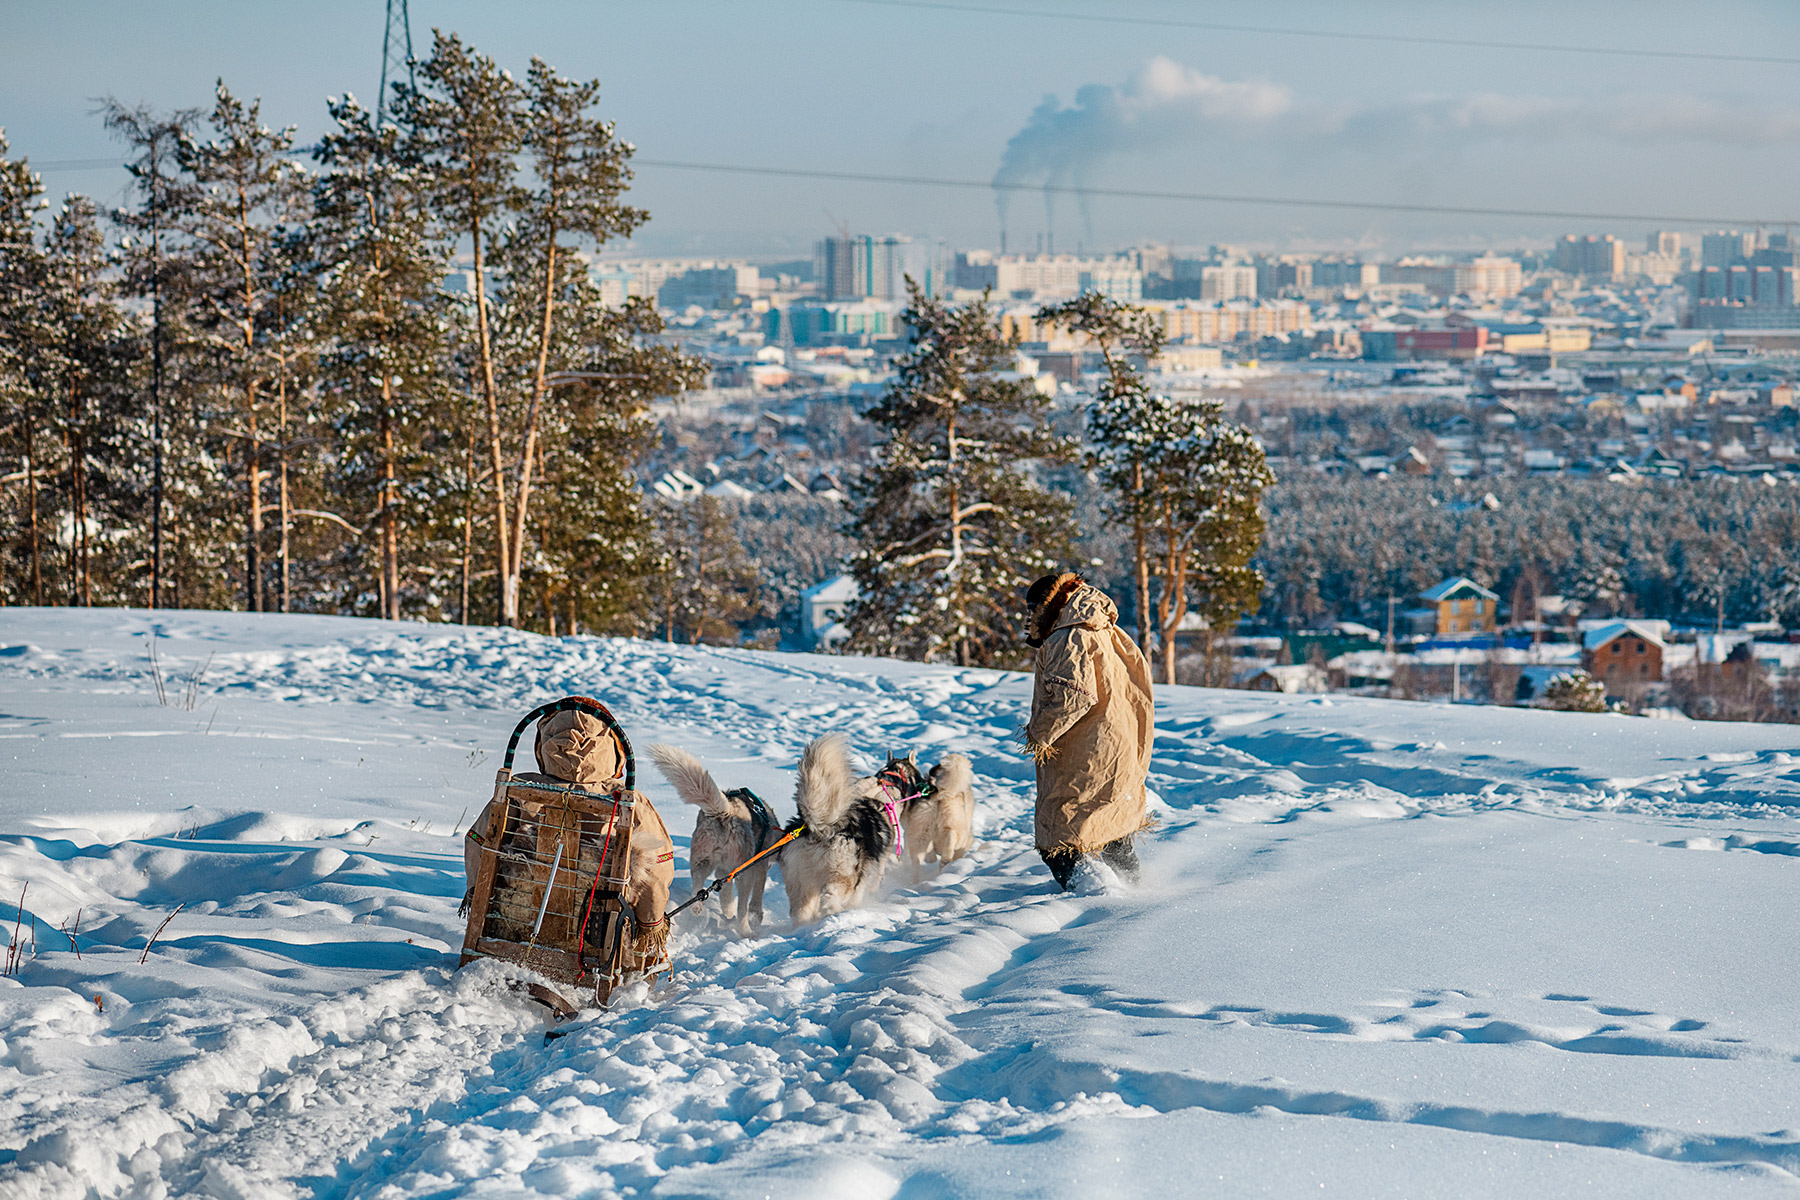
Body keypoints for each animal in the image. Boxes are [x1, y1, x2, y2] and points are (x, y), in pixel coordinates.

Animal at [651, 741, 784, 935]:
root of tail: (724, 811)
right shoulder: (757, 867)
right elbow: (756, 897)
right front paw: (755, 917)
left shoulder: (723, 871)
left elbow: (726, 897)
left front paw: (727, 914)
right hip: (743, 873)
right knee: (742, 907)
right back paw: (746, 931)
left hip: (702, 861)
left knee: (698, 887)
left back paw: (697, 906)